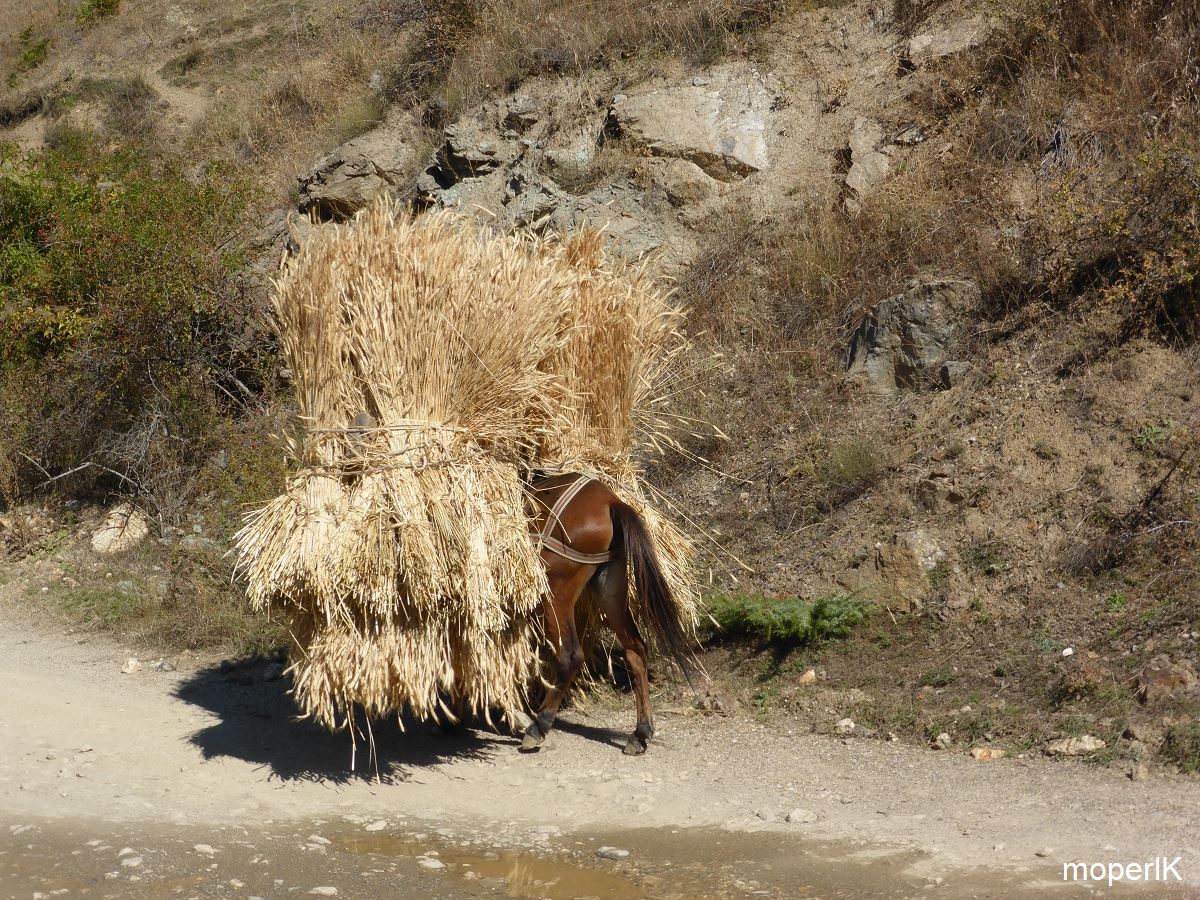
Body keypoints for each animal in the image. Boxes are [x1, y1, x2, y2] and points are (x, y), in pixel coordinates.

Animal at [522, 473, 695, 755]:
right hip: (609, 590)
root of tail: (610, 501)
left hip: (556, 592)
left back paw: (539, 726)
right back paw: (640, 733)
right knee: (636, 649)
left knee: (570, 655)